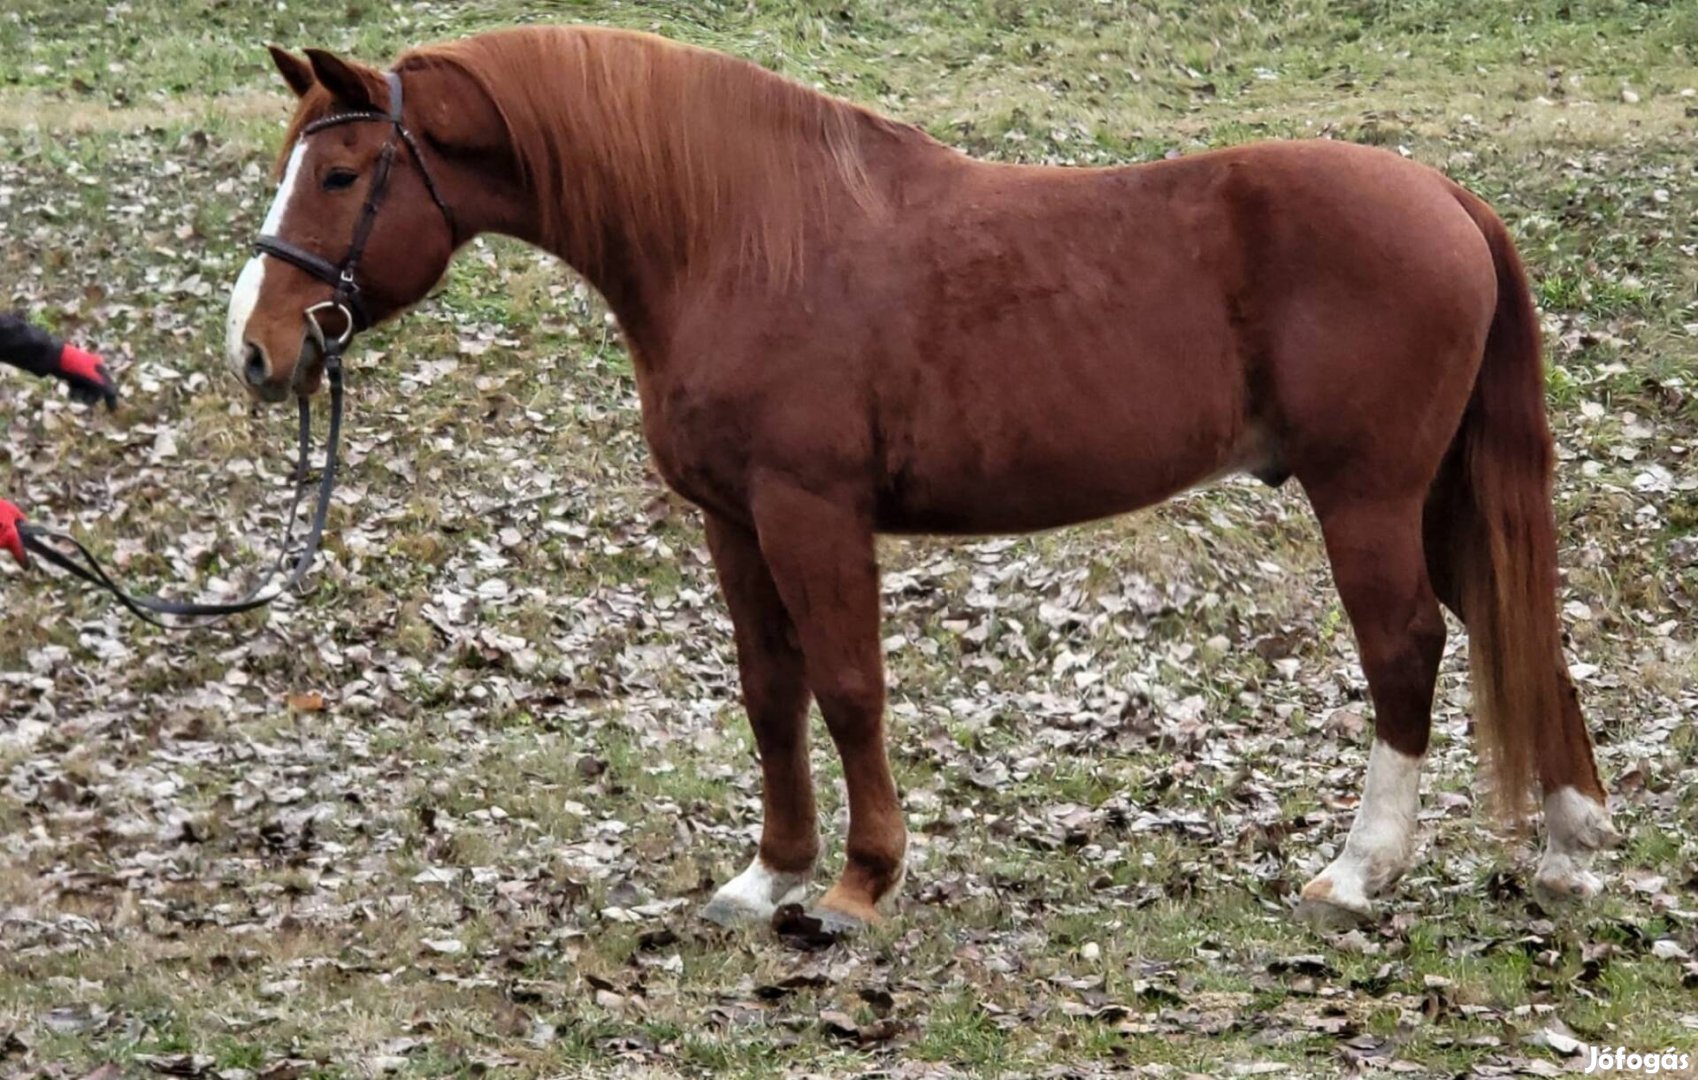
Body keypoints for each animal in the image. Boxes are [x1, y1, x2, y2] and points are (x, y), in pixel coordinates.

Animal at [229, 29, 1616, 930]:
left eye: (341, 173)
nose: (257, 347)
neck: (741, 233)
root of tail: (1440, 193)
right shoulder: (734, 522)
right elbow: (770, 692)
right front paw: (768, 878)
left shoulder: (811, 512)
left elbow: (849, 690)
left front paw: (857, 886)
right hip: (1435, 495)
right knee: (1515, 621)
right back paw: (1569, 844)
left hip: (1365, 496)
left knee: (1407, 648)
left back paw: (1359, 872)